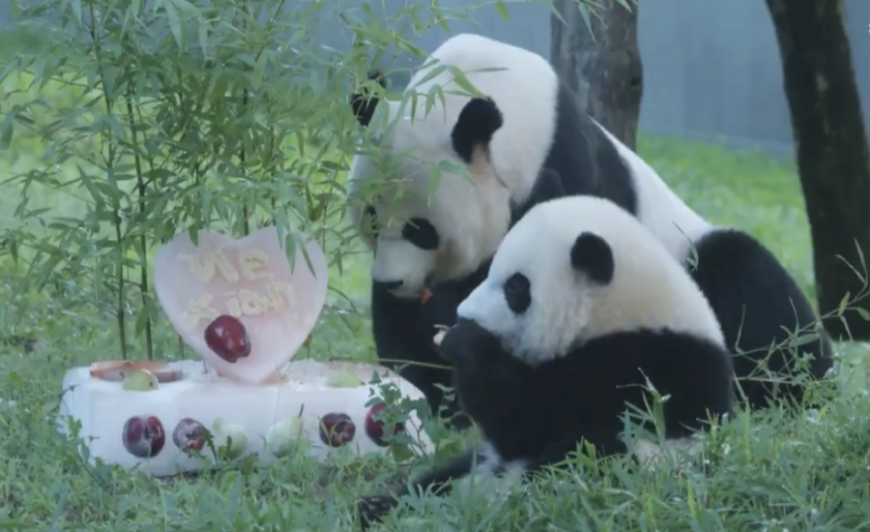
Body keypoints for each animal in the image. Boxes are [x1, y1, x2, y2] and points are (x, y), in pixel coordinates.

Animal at [348, 32, 833, 415]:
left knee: (750, 288)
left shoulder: (569, 167)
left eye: (421, 229)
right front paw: (436, 389)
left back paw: (790, 388)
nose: (393, 281)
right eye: (370, 220)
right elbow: (407, 329)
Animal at [355, 195, 736, 530]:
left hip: (650, 460)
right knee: (440, 479)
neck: (619, 310)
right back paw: (381, 507)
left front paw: (462, 340)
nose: (465, 314)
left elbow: (530, 418)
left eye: (515, 287)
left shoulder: (641, 366)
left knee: (591, 454)